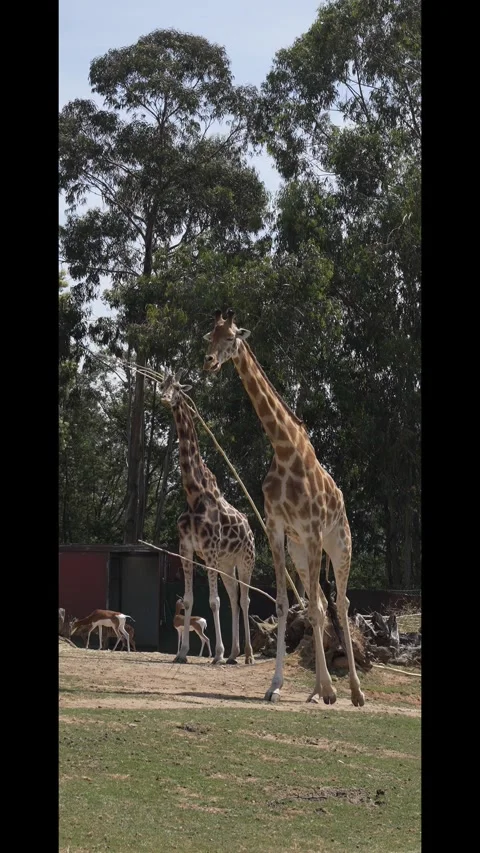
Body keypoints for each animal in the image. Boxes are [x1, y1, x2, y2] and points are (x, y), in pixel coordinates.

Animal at [159, 369, 255, 665]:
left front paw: (218, 654)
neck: (193, 494)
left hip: (245, 560)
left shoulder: (210, 550)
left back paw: (247, 655)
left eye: (178, 388)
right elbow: (191, 599)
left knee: (244, 599)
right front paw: (181, 653)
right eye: (161, 385)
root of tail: (251, 529)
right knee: (234, 597)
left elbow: (213, 602)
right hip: (227, 564)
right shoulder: (186, 549)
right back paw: (235, 653)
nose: (164, 398)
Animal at [202, 309, 365, 707]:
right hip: (301, 553)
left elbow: (320, 609)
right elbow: (281, 604)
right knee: (318, 604)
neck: (284, 448)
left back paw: (354, 691)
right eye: (209, 337)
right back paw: (318, 689)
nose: (208, 362)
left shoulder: (313, 529)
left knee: (341, 603)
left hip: (338, 545)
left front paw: (332, 690)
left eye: (231, 337)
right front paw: (276, 685)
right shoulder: (277, 529)